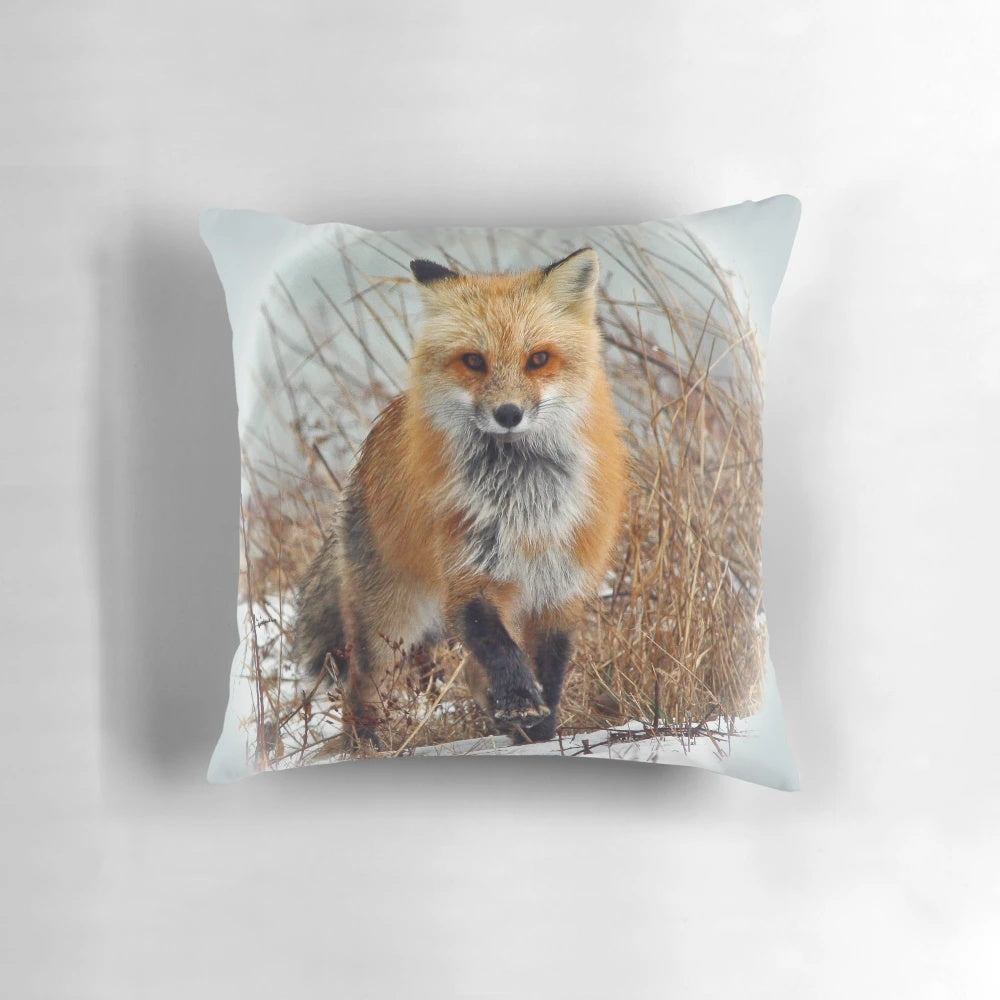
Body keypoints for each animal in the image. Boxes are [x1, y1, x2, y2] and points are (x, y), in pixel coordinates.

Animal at [292, 247, 628, 748]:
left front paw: (541, 729)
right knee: (361, 687)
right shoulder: (469, 574)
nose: (508, 413)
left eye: (538, 359)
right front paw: (521, 703)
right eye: (474, 361)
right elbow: (498, 647)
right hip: (391, 618)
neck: (523, 503)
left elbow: (549, 670)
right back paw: (366, 744)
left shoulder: (561, 588)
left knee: (470, 674)